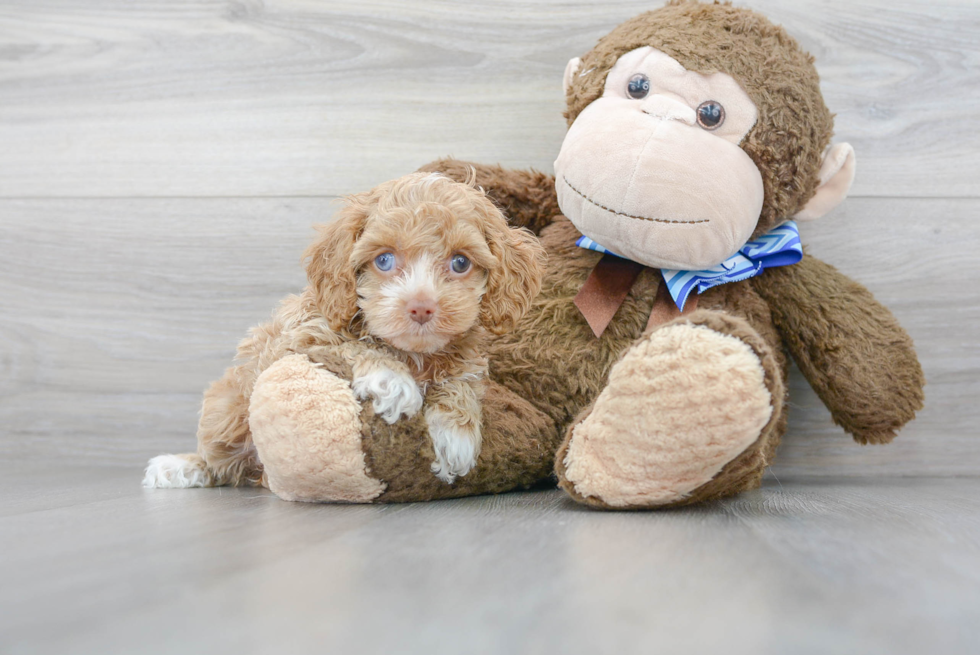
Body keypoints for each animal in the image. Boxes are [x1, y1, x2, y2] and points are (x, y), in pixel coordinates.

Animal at [143, 172, 548, 490]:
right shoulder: (300, 334)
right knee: (219, 459)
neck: (414, 354)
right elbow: (352, 346)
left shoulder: (465, 357)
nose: (421, 306)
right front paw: (393, 382)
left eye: (460, 263)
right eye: (384, 260)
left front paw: (455, 435)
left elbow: (461, 381)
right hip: (226, 409)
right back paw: (179, 467)